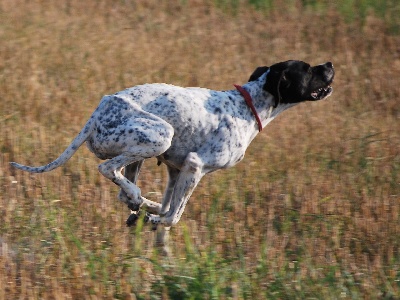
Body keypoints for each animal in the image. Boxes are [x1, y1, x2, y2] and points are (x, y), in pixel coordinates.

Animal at [9, 60, 334, 230]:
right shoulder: (195, 166)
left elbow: (169, 204)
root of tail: (96, 113)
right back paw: (138, 198)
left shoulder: (177, 169)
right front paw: (156, 220)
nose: (329, 64)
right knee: (108, 170)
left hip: (142, 153)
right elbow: (174, 216)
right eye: (306, 69)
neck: (247, 105)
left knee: (123, 191)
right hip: (160, 134)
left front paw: (151, 214)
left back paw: (140, 201)